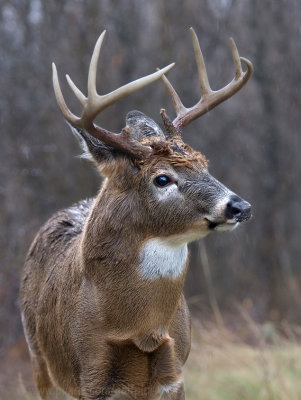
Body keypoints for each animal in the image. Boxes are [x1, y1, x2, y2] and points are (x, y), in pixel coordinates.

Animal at [19, 28, 252, 400]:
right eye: (162, 178)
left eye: (205, 163)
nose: (239, 206)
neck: (140, 327)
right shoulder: (91, 379)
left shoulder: (174, 374)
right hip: (41, 364)